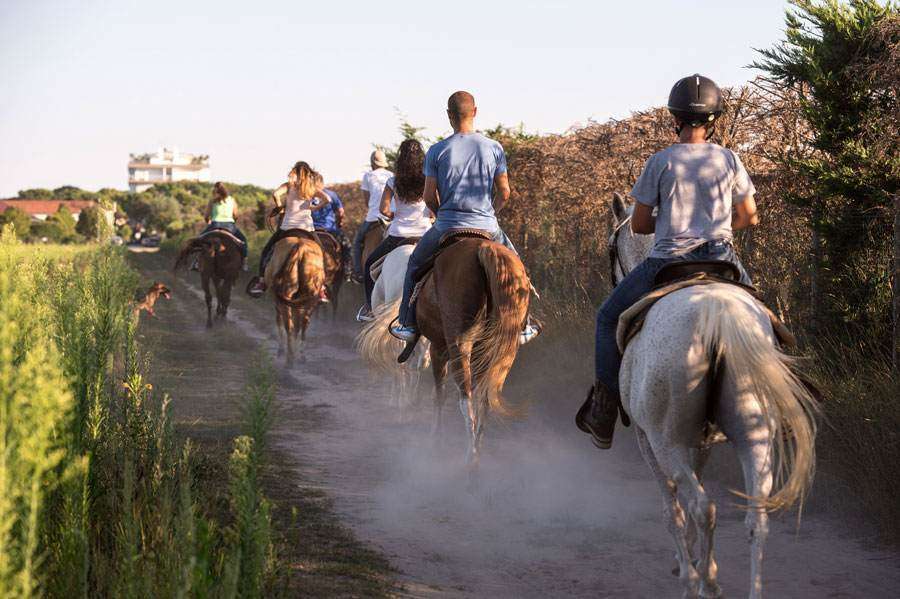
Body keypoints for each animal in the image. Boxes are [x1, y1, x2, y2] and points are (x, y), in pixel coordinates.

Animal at [264, 236, 326, 366]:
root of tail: (300, 246)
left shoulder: (276, 302)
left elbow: (279, 322)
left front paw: (281, 350)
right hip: (308, 299)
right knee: (301, 325)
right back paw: (297, 356)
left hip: (286, 297)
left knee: (290, 326)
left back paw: (290, 358)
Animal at [356, 234, 528, 468]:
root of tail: (483, 250)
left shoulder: (437, 345)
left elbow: (436, 390)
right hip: (500, 352)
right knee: (483, 396)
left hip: (454, 343)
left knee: (460, 393)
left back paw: (466, 454)